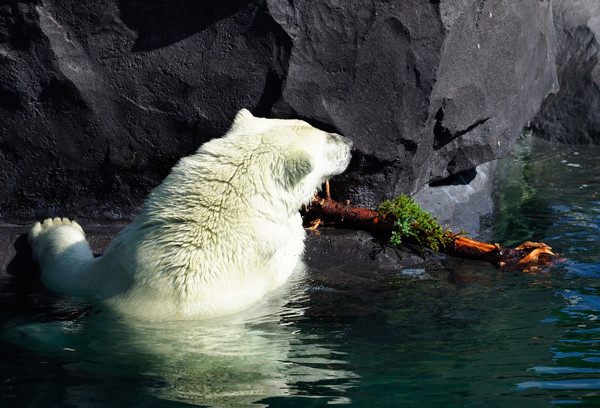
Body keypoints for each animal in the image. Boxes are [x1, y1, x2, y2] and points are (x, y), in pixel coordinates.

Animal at [28, 109, 354, 322]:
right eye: (326, 139)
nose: (350, 144)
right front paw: (56, 222)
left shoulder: (115, 270)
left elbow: (70, 274)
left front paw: (52, 224)